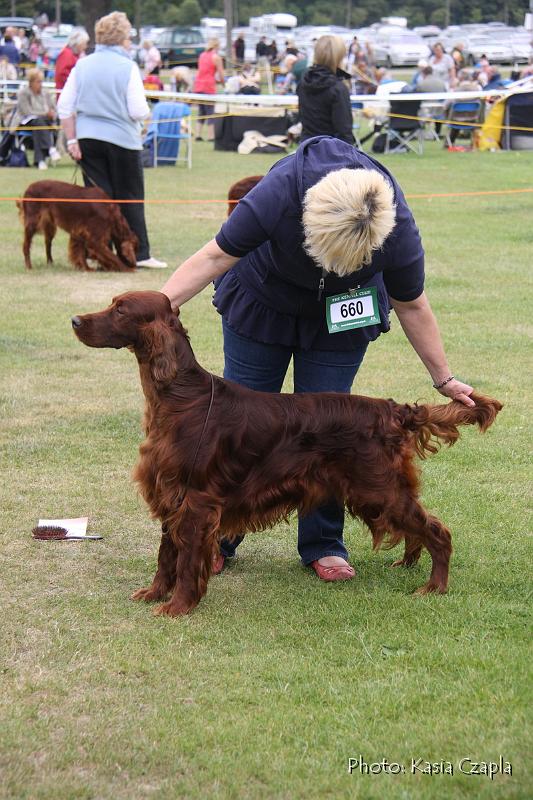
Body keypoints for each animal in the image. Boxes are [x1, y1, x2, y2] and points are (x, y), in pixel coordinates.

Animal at [72, 290, 500, 616]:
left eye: (120, 309)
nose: (75, 320)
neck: (181, 397)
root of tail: (392, 410)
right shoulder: (169, 493)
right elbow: (166, 555)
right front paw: (154, 593)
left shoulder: (195, 501)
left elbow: (186, 559)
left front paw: (177, 607)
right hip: (377, 494)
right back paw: (410, 564)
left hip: (379, 489)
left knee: (438, 531)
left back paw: (434, 586)